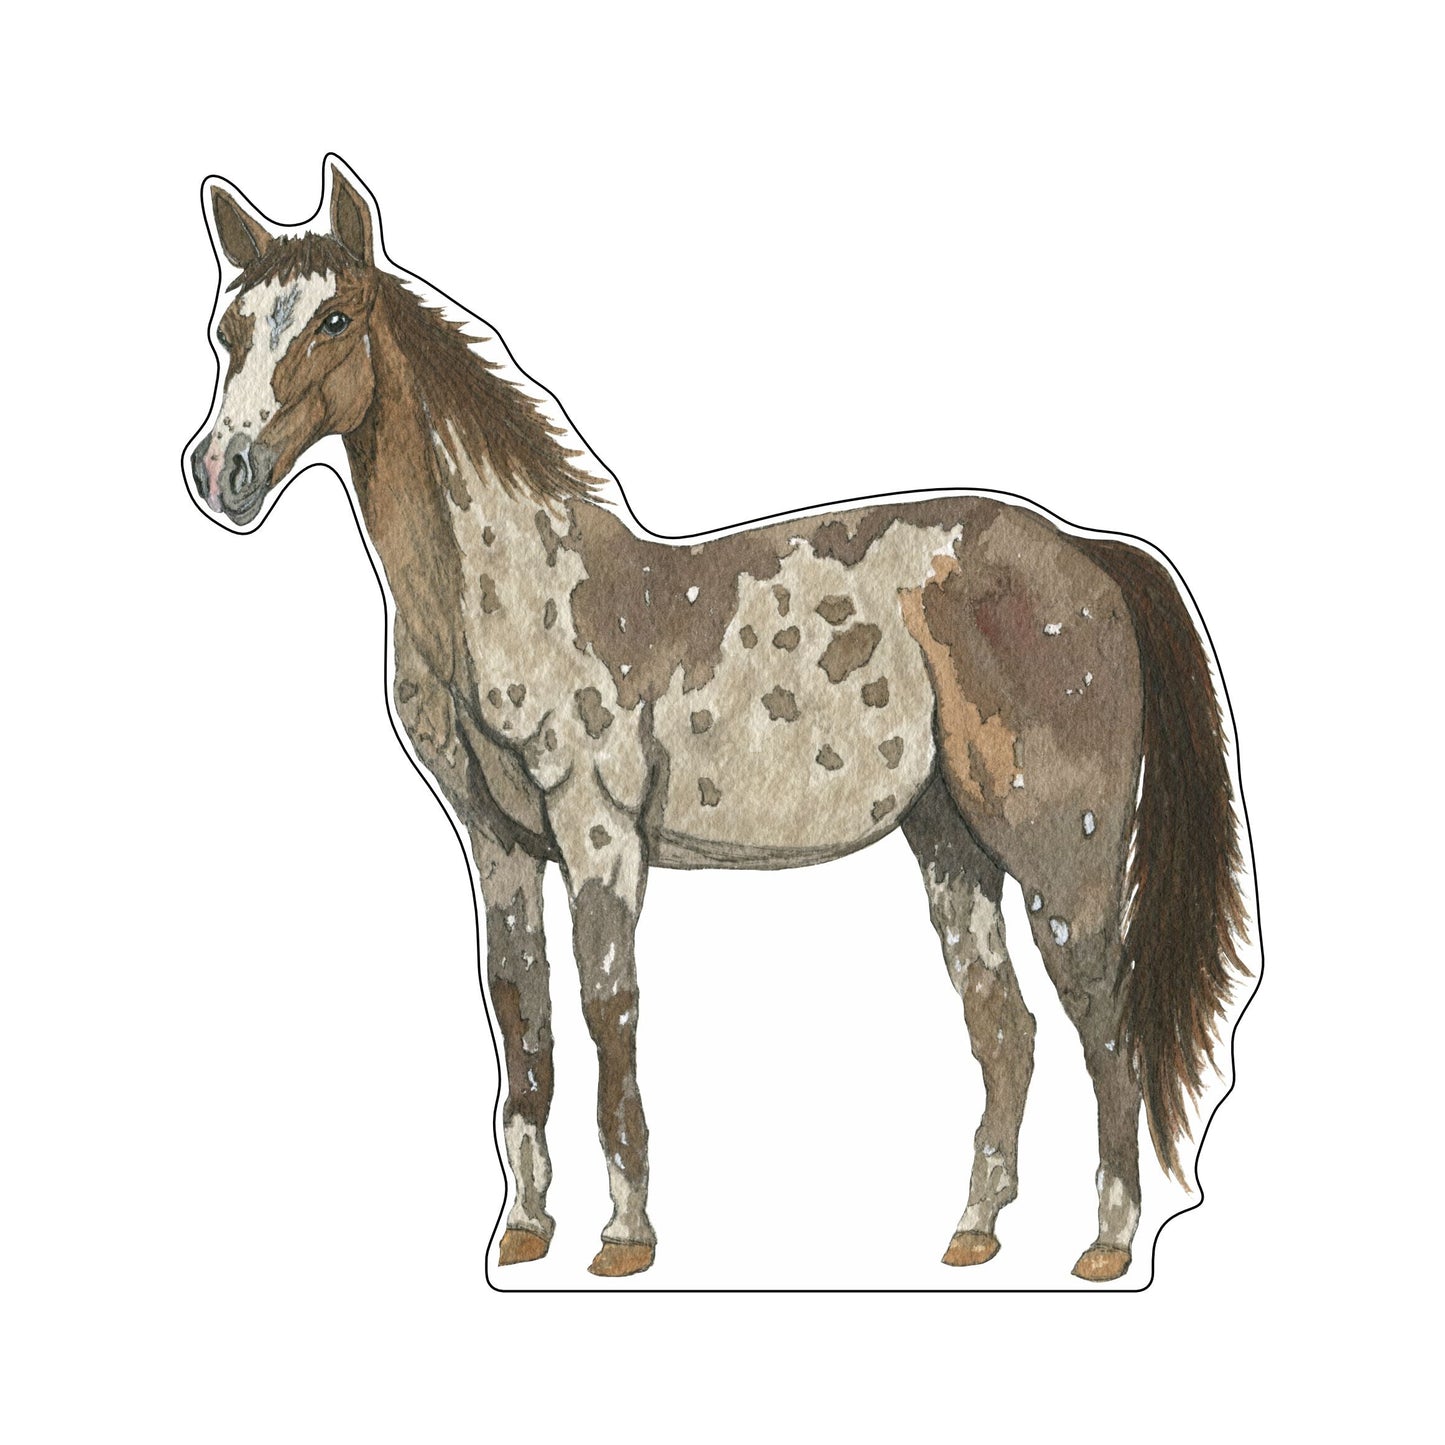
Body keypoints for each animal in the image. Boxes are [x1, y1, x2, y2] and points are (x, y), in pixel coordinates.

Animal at [186, 159, 1249, 1284]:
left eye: (335, 319)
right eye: (230, 329)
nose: (222, 472)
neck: (518, 588)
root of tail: (1090, 556)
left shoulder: (598, 833)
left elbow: (607, 1009)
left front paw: (623, 1234)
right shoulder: (497, 841)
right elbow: (521, 1015)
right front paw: (523, 1229)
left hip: (1060, 858)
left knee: (1105, 1022)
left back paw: (1106, 1241)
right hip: (951, 845)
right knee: (1004, 1028)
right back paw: (972, 1229)